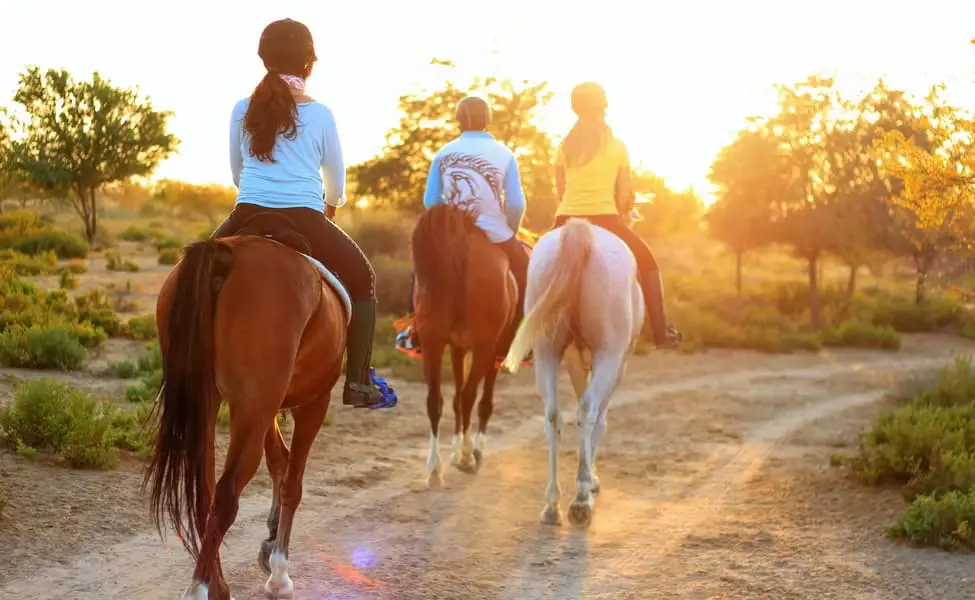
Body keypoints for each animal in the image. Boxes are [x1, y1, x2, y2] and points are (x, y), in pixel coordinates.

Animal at [142, 218, 346, 596]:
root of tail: (224, 255)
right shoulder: (312, 402)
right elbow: (292, 482)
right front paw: (279, 571)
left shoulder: (263, 405)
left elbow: (279, 461)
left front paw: (269, 543)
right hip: (253, 408)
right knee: (225, 496)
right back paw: (198, 590)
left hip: (213, 404)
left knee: (205, 492)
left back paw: (218, 586)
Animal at [410, 203, 528, 488]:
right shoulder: (494, 349)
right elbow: (482, 400)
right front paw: (472, 450)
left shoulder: (456, 346)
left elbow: (453, 396)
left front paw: (454, 451)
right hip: (486, 346)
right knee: (469, 396)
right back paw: (467, 457)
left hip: (432, 341)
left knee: (435, 400)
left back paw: (435, 469)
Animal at [504, 218, 648, 528]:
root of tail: (580, 230)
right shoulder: (617, 367)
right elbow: (599, 420)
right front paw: (591, 478)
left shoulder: (572, 362)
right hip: (608, 356)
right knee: (588, 411)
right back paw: (581, 500)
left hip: (546, 352)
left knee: (553, 416)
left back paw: (552, 505)